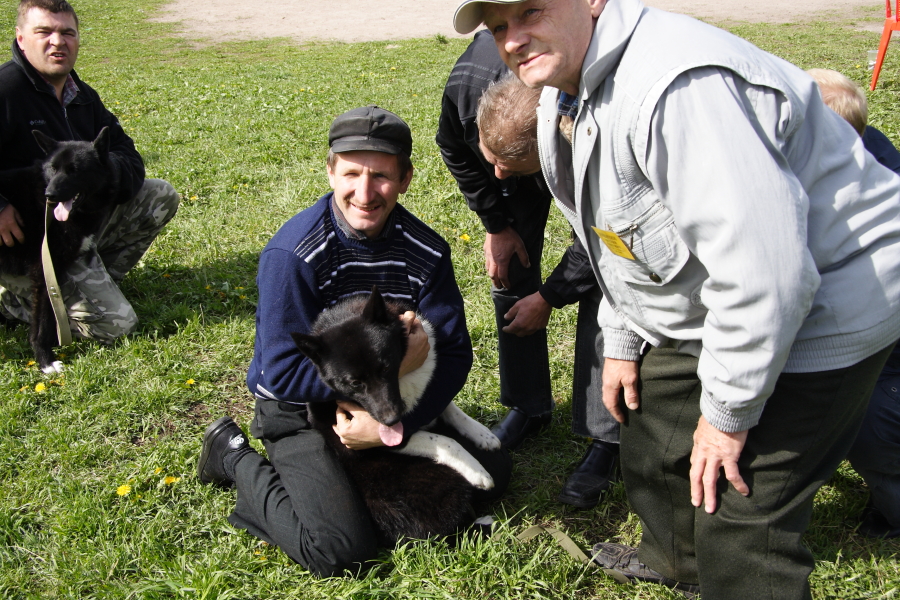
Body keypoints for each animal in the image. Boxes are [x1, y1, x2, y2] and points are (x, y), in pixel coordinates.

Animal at [0, 127, 127, 373]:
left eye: (75, 170)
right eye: (53, 168)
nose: (49, 195)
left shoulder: (54, 272)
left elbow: (50, 318)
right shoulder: (43, 273)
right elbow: (43, 322)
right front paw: (45, 360)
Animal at [291, 286, 502, 545]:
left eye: (385, 367)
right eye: (354, 383)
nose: (391, 421)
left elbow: (449, 407)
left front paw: (481, 434)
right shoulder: (380, 440)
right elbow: (446, 441)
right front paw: (477, 471)